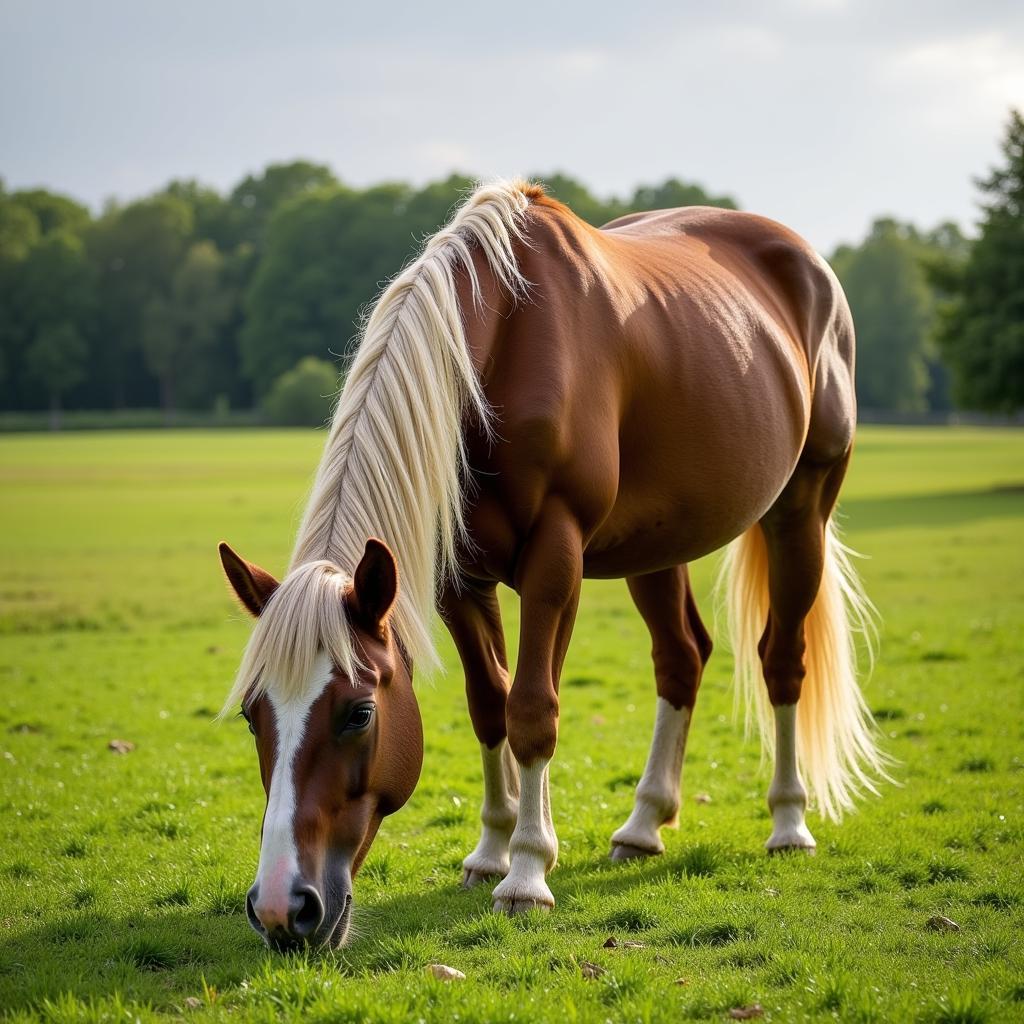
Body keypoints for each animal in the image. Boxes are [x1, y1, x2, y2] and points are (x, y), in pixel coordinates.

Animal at [220, 178, 884, 950]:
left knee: (782, 659)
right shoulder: (458, 579)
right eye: (253, 715)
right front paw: (490, 850)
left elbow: (533, 709)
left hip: (800, 511)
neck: (501, 348)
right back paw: (643, 825)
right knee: (681, 658)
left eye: (358, 713)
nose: (281, 908)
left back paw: (787, 821)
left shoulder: (555, 555)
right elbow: (490, 706)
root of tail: (807, 261)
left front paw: (528, 873)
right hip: (656, 547)